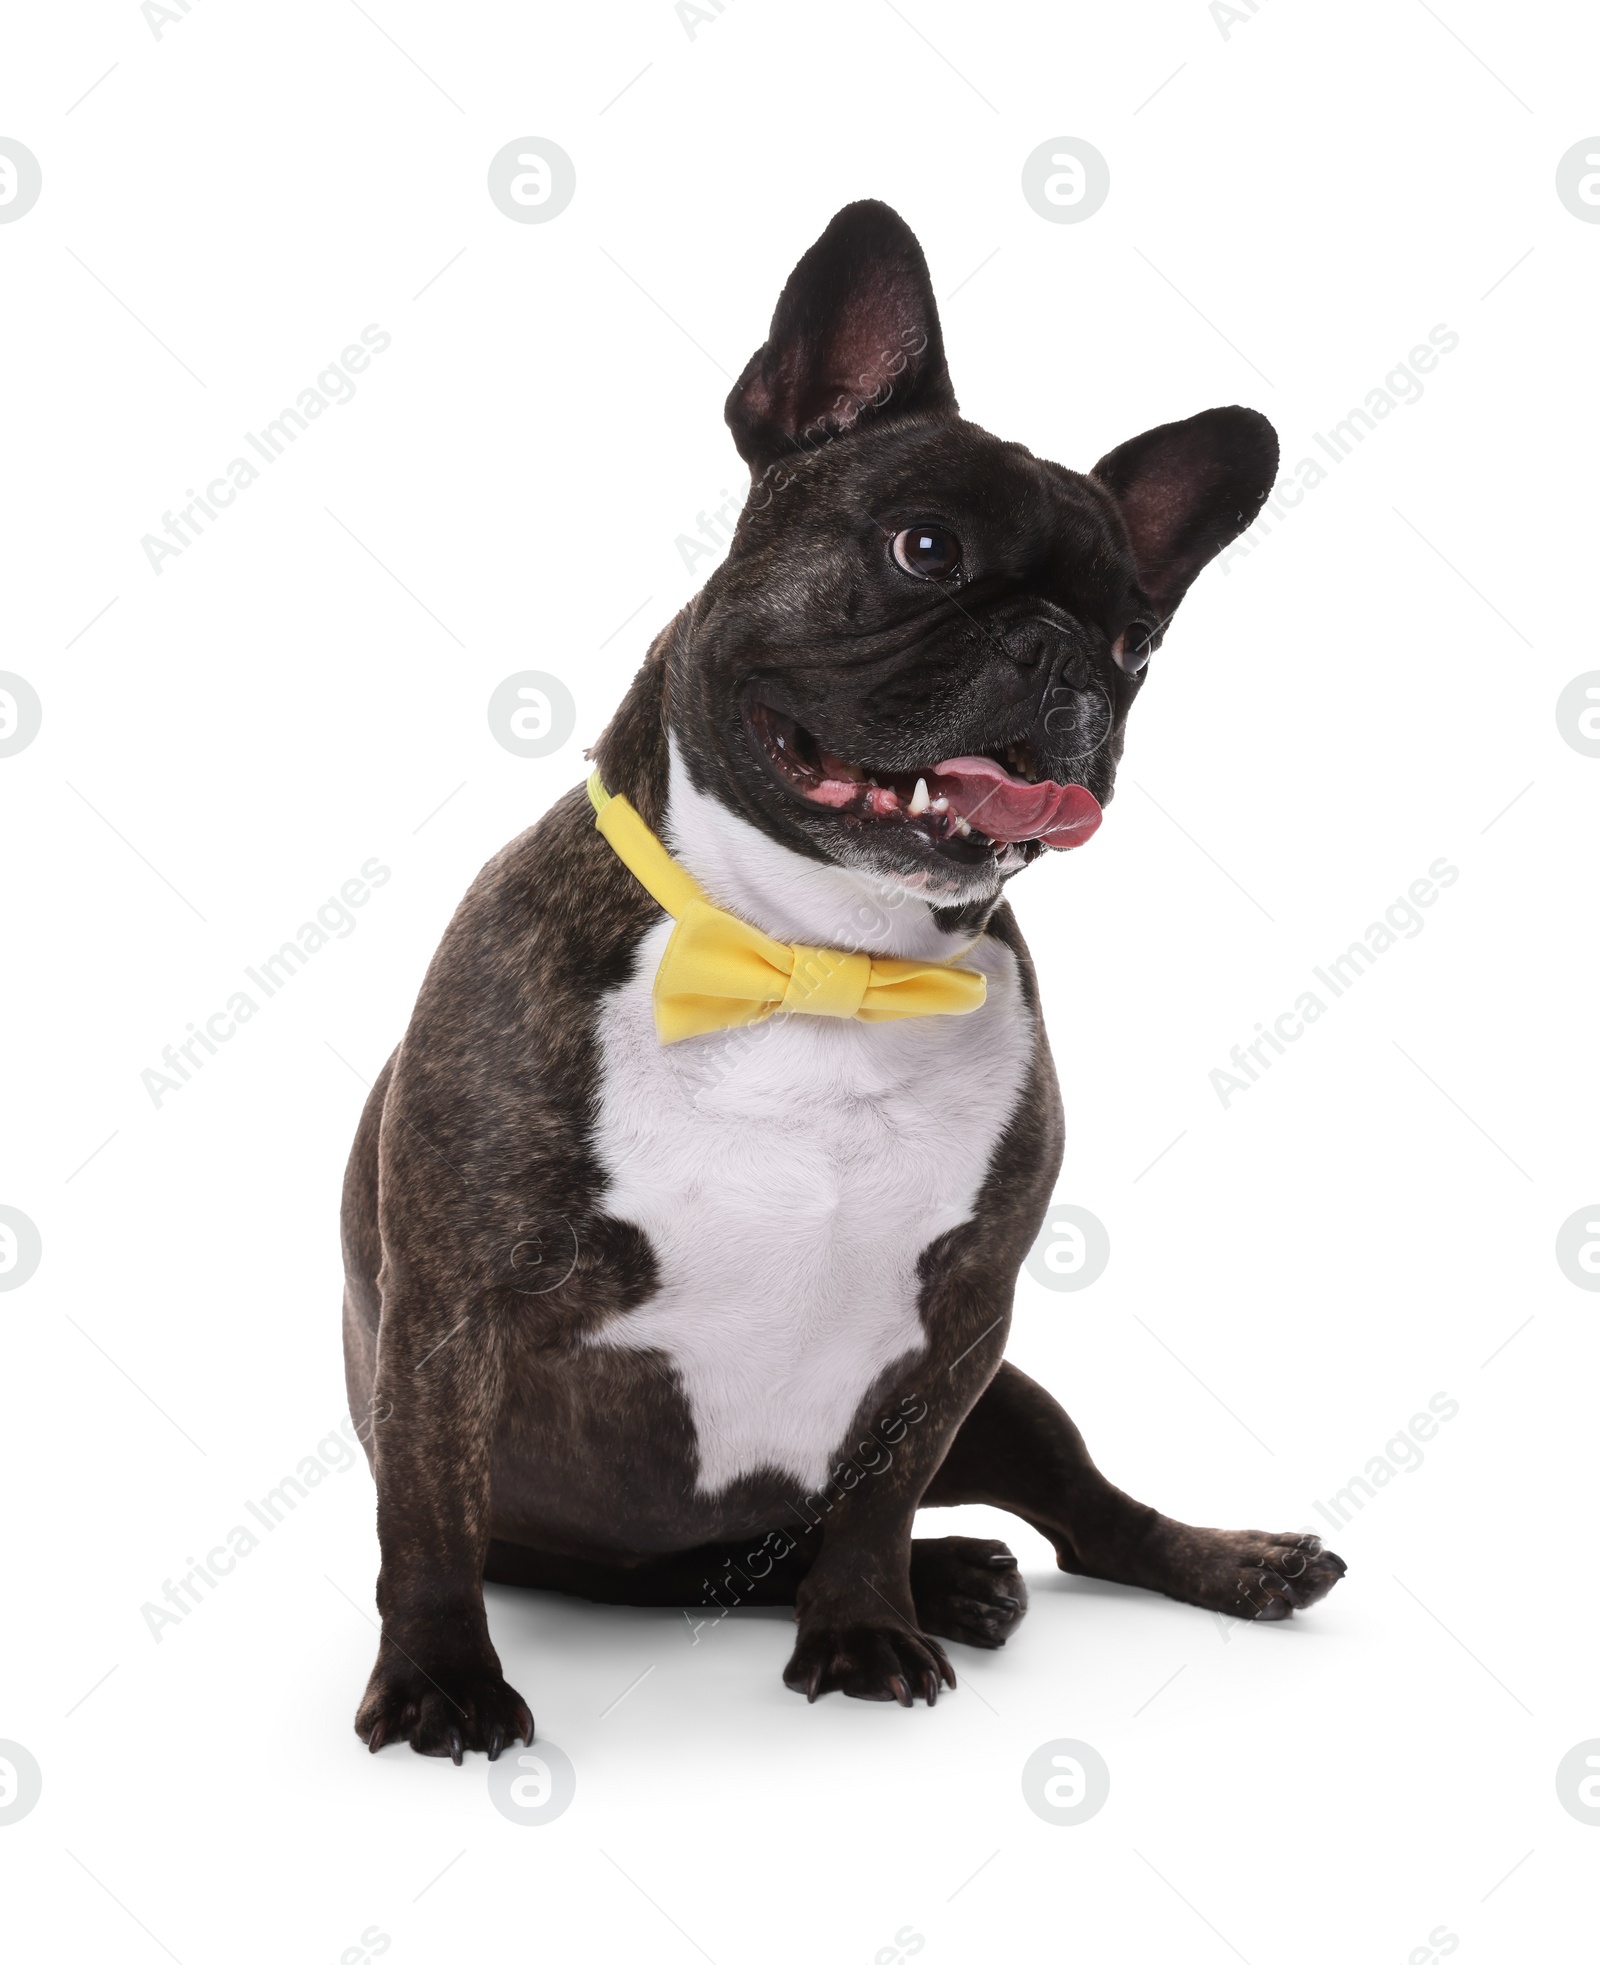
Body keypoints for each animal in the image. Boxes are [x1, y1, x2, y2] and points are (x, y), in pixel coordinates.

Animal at [343, 199, 1344, 1768]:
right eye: (925, 548)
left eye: (1137, 638)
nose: (1063, 653)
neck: (817, 957)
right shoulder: (454, 1305)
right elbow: (429, 1510)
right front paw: (443, 1678)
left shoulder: (962, 1318)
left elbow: (877, 1497)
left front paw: (869, 1628)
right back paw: (960, 1576)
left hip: (1018, 1402)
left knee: (1085, 1521)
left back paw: (1188, 1563)